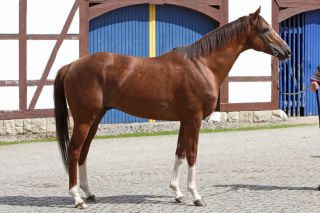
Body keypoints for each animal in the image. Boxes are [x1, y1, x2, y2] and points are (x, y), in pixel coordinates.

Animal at [54, 7, 290, 209]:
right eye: (265, 29)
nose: (286, 51)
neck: (201, 65)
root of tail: (71, 66)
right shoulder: (194, 119)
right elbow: (192, 154)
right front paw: (196, 195)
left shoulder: (185, 120)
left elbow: (180, 152)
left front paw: (177, 193)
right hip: (84, 119)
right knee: (74, 151)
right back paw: (77, 198)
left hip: (95, 118)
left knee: (84, 152)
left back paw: (88, 193)